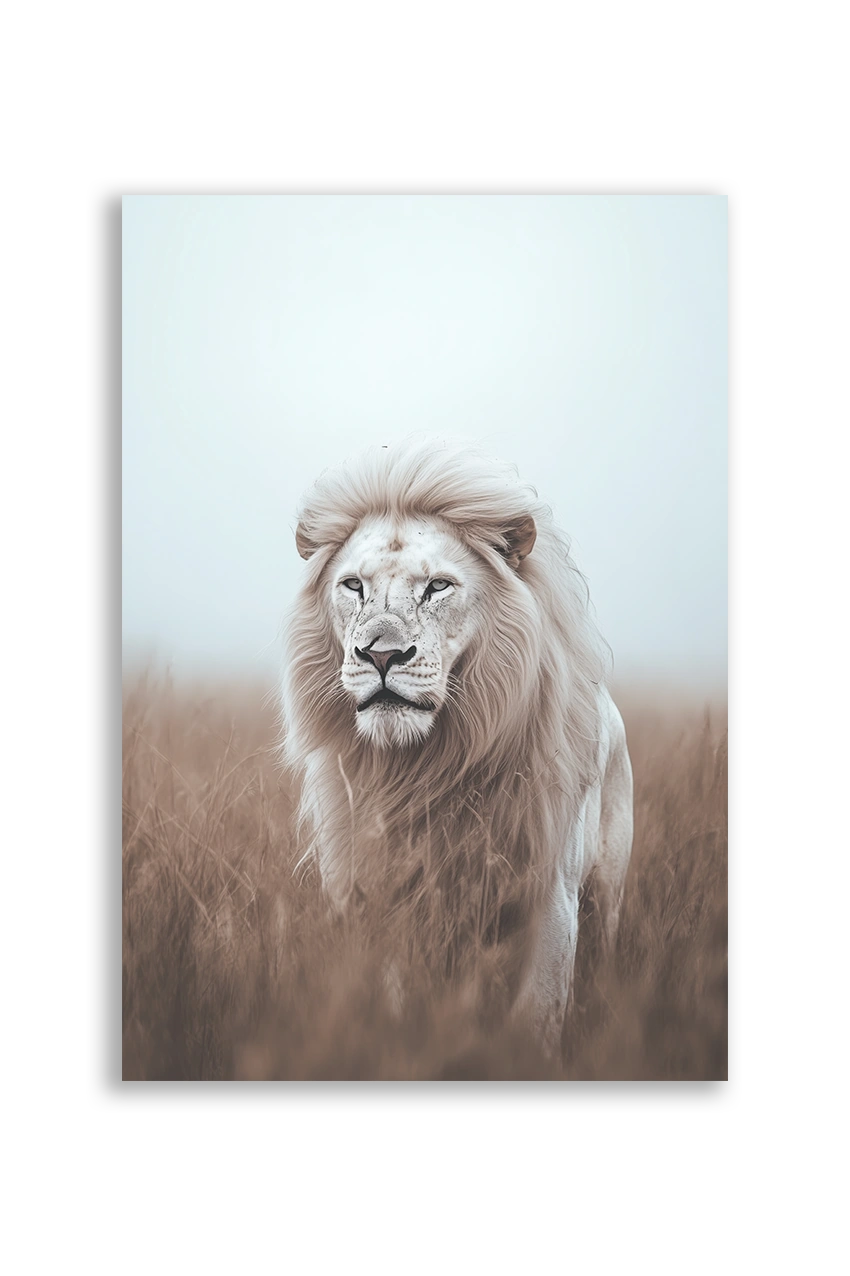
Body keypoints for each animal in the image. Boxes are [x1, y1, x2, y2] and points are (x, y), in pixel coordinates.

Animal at [280, 437, 633, 1057]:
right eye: (354, 586)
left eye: (437, 586)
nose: (380, 655)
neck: (429, 768)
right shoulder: (383, 893)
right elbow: (397, 1009)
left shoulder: (553, 896)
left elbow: (537, 1018)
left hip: (605, 893)